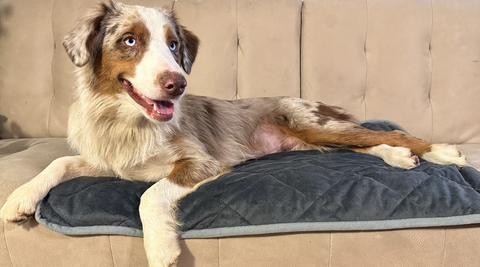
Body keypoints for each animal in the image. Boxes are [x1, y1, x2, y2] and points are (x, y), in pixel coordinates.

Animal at [0, 1, 464, 266]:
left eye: (173, 45)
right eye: (129, 40)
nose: (178, 84)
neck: (124, 120)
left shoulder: (201, 161)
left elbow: (151, 194)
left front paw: (160, 247)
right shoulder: (108, 160)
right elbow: (58, 162)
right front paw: (20, 198)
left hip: (312, 122)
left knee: (391, 136)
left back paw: (441, 153)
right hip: (317, 140)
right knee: (362, 147)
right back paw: (399, 158)